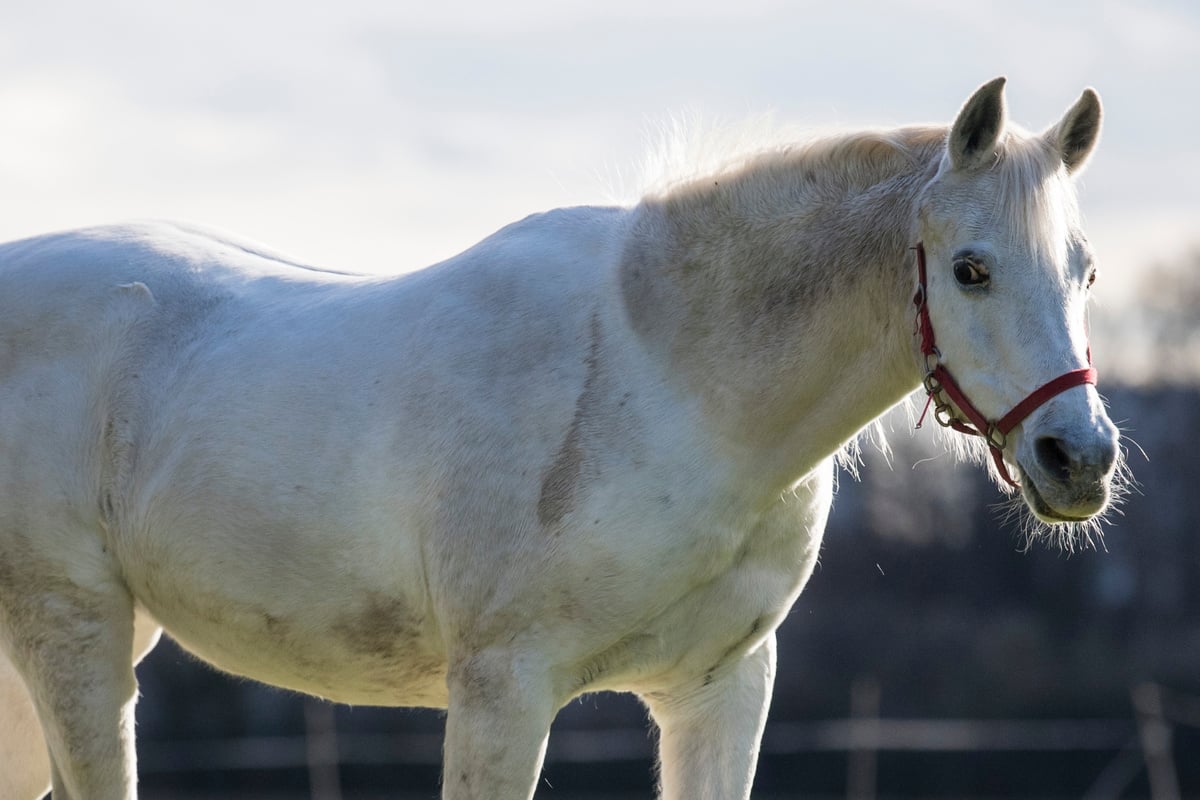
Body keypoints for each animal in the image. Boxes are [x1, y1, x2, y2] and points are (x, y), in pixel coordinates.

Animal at [4, 79, 1118, 800]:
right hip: (75, 639)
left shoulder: (720, 688)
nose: (1081, 459)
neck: (672, 381)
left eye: (1086, 268)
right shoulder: (502, 692)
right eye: (971, 268)